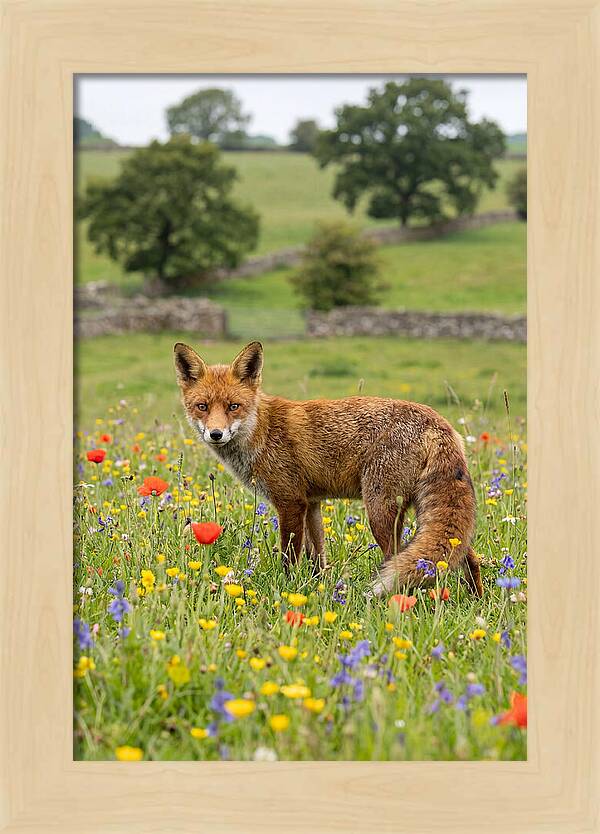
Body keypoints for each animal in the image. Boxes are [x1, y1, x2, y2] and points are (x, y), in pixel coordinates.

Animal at [174, 340, 482, 598]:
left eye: (233, 406)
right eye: (202, 406)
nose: (215, 434)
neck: (261, 431)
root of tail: (437, 422)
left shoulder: (290, 502)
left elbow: (290, 557)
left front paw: (287, 589)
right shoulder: (311, 504)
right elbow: (317, 557)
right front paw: (317, 588)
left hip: (380, 510)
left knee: (396, 559)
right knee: (467, 557)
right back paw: (476, 599)